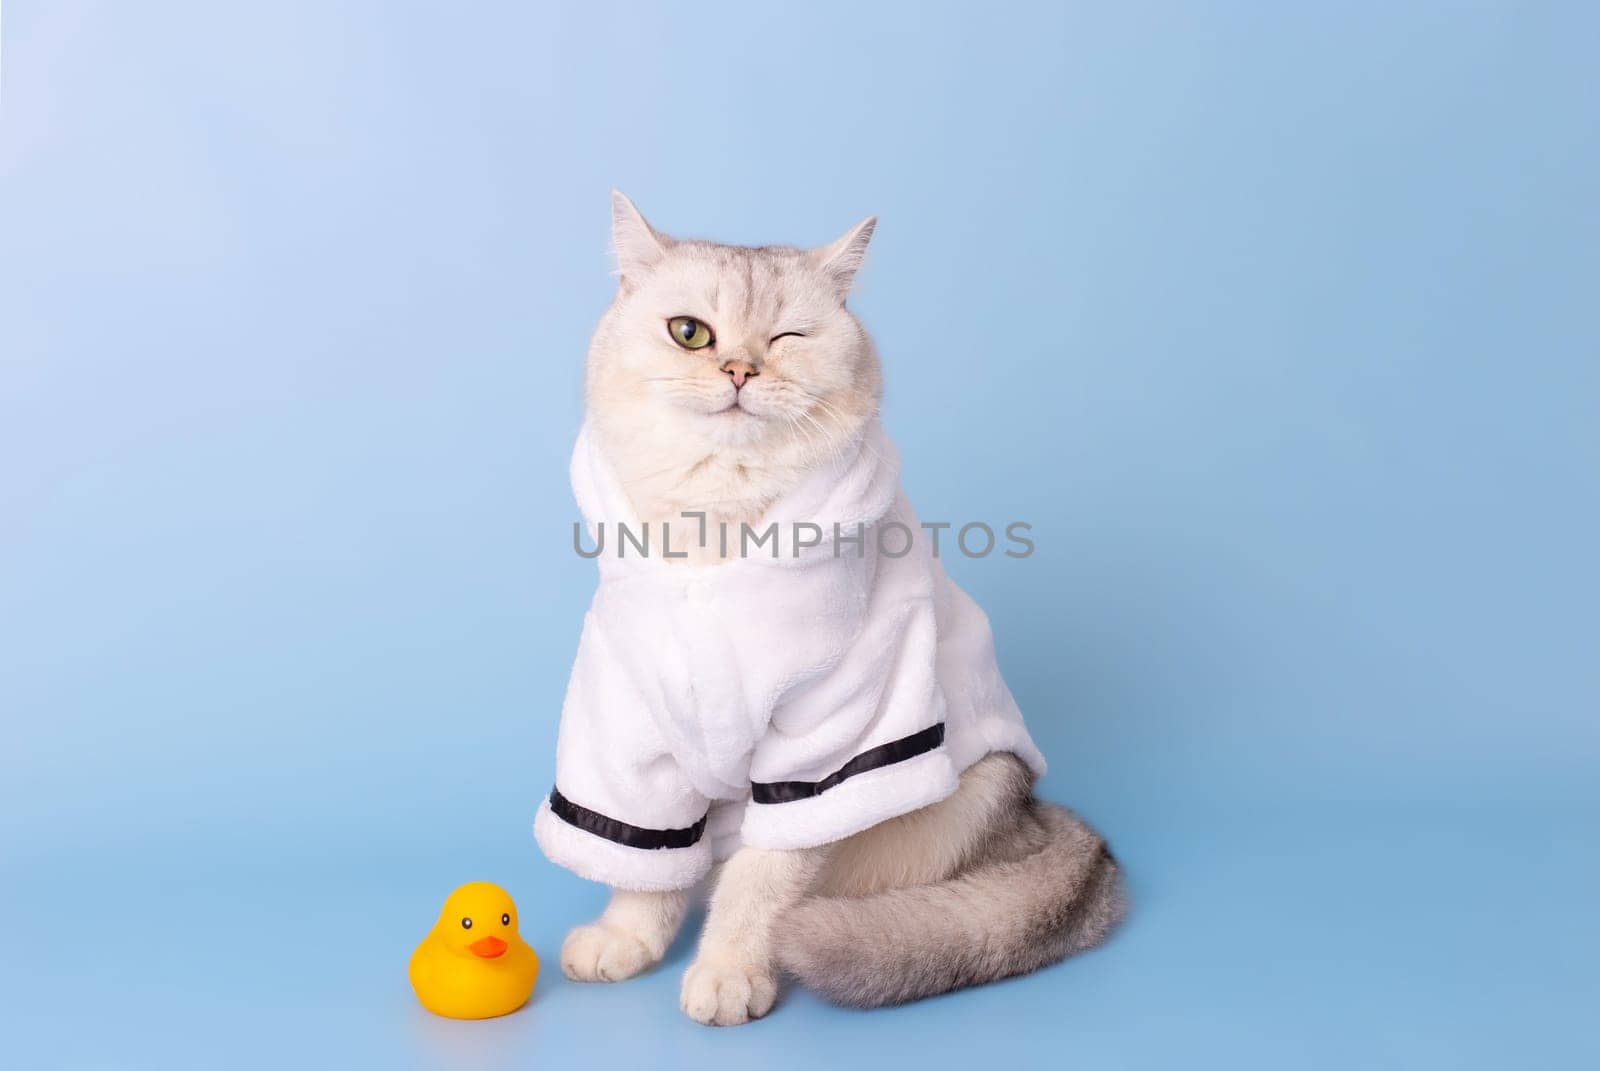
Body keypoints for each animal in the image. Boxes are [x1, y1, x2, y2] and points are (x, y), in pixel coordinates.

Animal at [537, 189, 1126, 1018]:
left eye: (787, 336)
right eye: (690, 333)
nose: (739, 369)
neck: (716, 523)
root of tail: (1039, 819)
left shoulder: (823, 743)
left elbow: (761, 883)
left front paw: (729, 971)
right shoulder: (624, 735)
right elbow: (642, 864)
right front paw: (628, 936)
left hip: (953, 799)